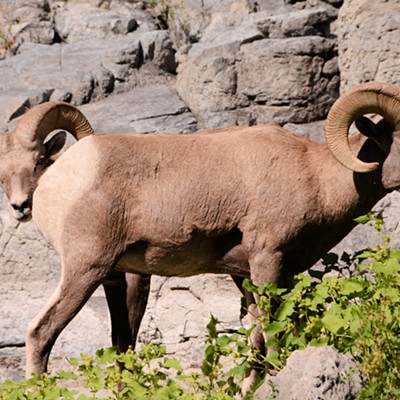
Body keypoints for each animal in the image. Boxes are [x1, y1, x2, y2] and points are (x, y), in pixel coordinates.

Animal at [0, 81, 400, 384]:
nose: (20, 205)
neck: (318, 175)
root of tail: (55, 181)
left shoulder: (249, 275)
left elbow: (257, 340)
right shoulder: (268, 260)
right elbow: (273, 332)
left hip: (109, 275)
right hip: (85, 270)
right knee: (40, 333)